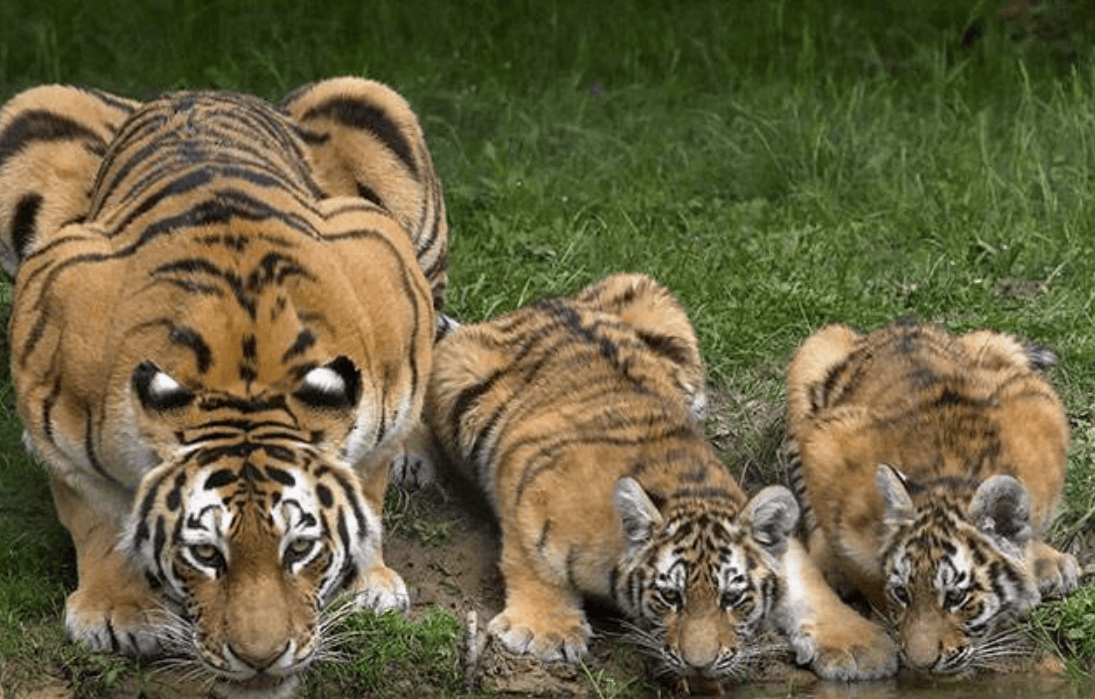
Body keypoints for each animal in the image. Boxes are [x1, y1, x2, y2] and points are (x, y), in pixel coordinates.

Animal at [0, 77, 446, 698]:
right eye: (206, 554)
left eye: (300, 548)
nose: (261, 657)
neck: (245, 381)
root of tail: (193, 91)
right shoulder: (56, 398)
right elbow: (98, 515)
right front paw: (119, 615)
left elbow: (370, 484)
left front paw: (367, 582)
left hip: (375, 111)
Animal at [425, 273, 898, 689]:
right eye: (671, 597)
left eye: (732, 599)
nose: (700, 664)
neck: (686, 490)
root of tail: (541, 304)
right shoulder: (527, 486)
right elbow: (531, 559)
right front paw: (545, 631)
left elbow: (809, 584)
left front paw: (861, 646)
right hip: (452, 372)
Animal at [786, 319, 1081, 674]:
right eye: (902, 593)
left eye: (955, 598)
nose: (920, 664)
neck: (951, 478)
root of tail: (901, 324)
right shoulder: (827, 443)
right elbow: (860, 564)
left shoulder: (1038, 404)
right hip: (812, 355)